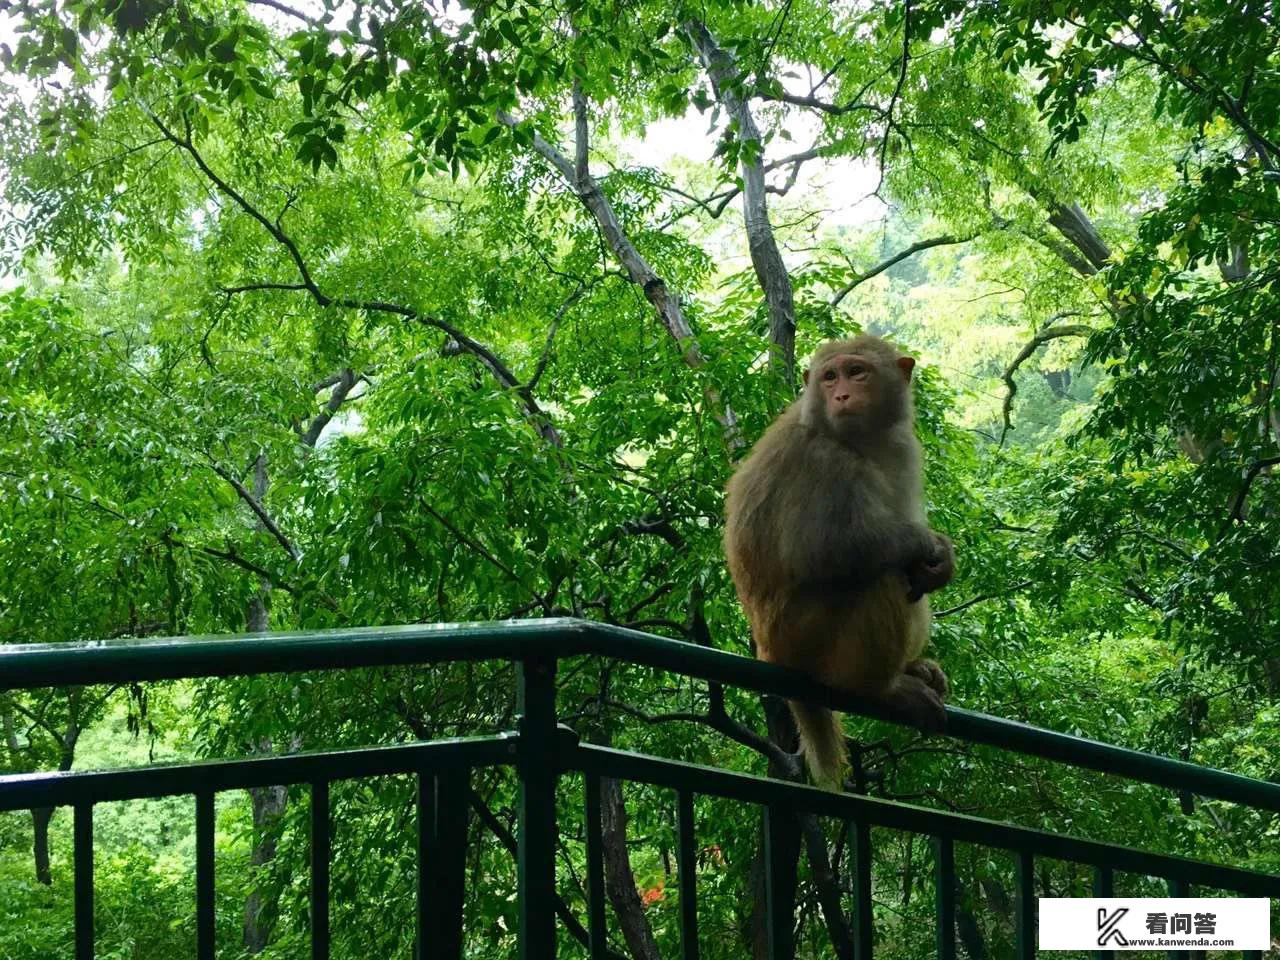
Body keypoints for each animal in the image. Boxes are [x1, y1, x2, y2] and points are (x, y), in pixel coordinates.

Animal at [727, 335, 957, 788]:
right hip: (804, 638)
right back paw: (879, 688)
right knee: (882, 575)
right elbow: (824, 551)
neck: (859, 440)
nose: (842, 396)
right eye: (830, 376)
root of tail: (769, 652)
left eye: (857, 372)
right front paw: (928, 544)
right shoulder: (823, 462)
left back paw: (912, 667)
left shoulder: (904, 448)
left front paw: (942, 556)